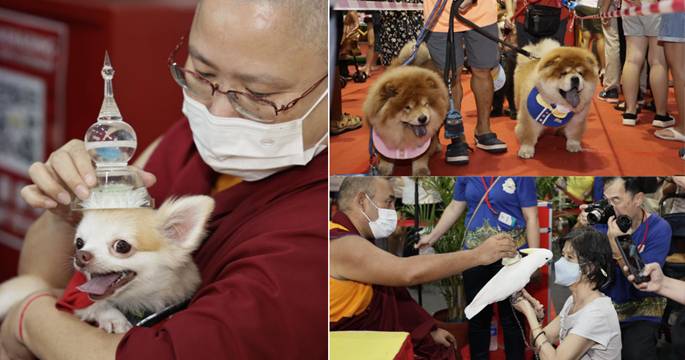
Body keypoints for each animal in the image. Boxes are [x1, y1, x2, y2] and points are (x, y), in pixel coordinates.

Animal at [0, 195, 214, 334]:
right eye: (79, 243)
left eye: (122, 246)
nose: (80, 256)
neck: (135, 302)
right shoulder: (73, 299)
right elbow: (96, 305)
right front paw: (113, 318)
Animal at [364, 43, 448, 176]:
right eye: (407, 107)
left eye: (425, 104)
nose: (423, 118)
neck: (404, 133)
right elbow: (385, 157)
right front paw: (384, 169)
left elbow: (421, 157)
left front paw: (420, 170)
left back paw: (437, 147)